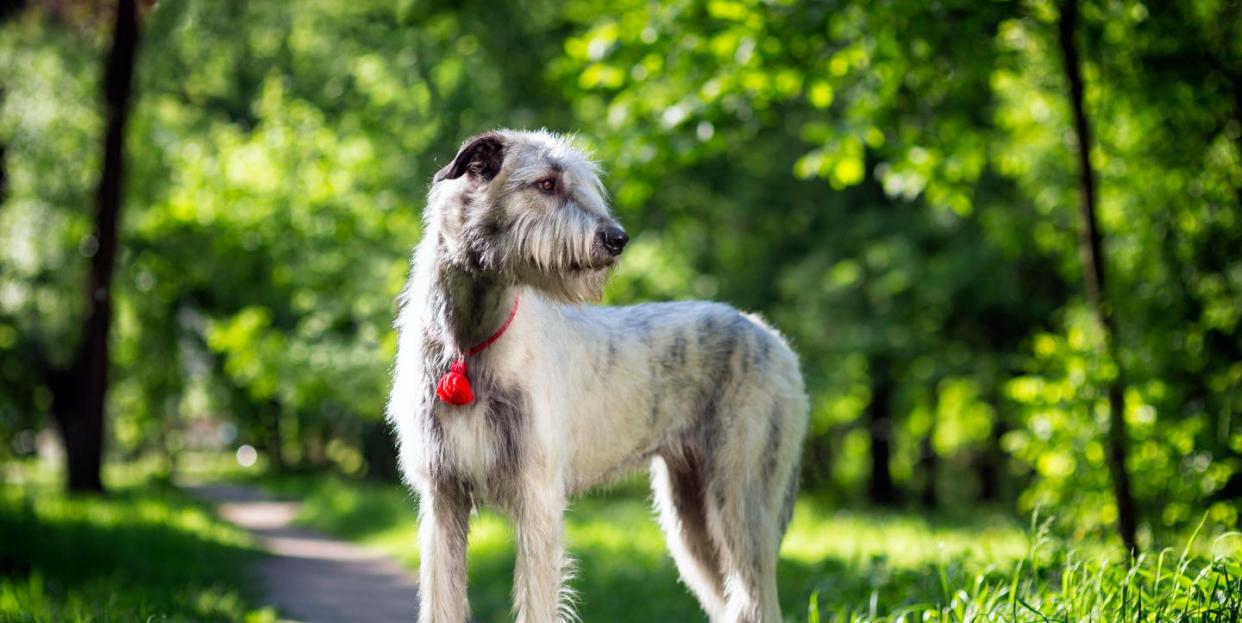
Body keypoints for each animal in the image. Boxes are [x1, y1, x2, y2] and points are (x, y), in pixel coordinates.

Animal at [389, 129, 814, 620]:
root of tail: (775, 339)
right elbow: (442, 599)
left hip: (743, 501)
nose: (617, 238)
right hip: (691, 515)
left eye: (583, 184)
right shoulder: (443, 499)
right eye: (547, 183)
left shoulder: (538, 497)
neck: (467, 341)